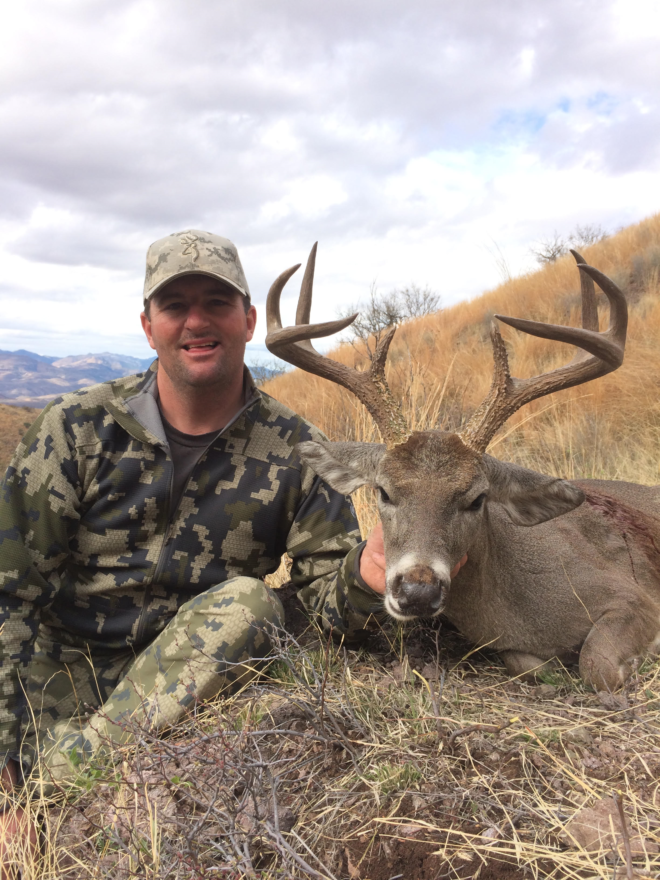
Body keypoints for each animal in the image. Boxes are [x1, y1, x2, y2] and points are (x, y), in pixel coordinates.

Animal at [265, 245, 660, 693]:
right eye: (383, 491)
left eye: (477, 498)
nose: (418, 591)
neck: (515, 611)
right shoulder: (516, 648)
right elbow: (530, 664)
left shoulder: (630, 594)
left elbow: (596, 664)